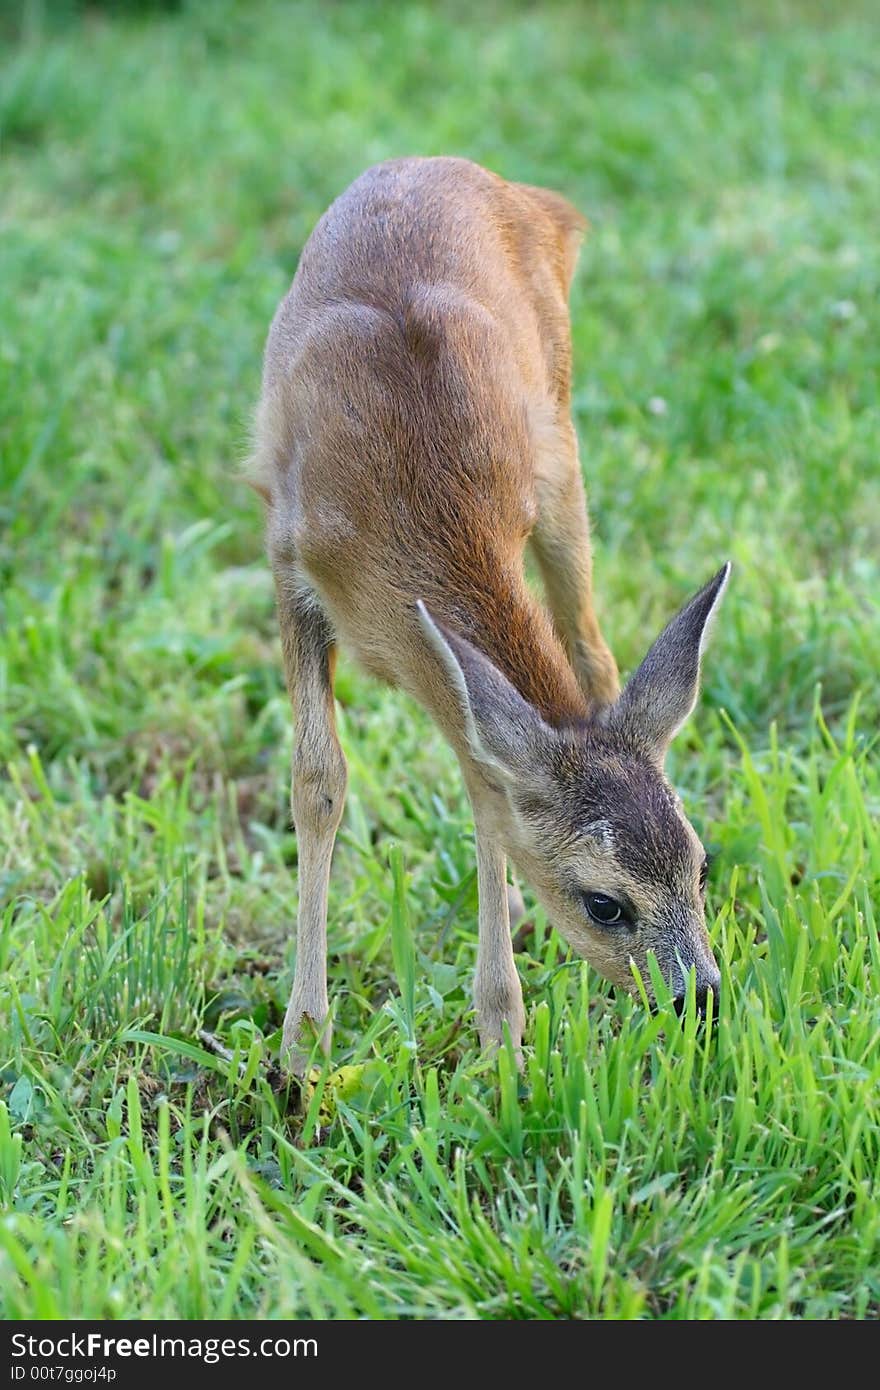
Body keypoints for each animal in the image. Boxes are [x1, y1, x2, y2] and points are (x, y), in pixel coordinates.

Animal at [248, 159, 728, 1073]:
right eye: (605, 903)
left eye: (701, 863)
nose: (702, 1002)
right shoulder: (288, 558)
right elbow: (319, 783)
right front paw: (301, 1048)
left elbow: (484, 786)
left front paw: (502, 1037)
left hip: (562, 446)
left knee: (591, 654)